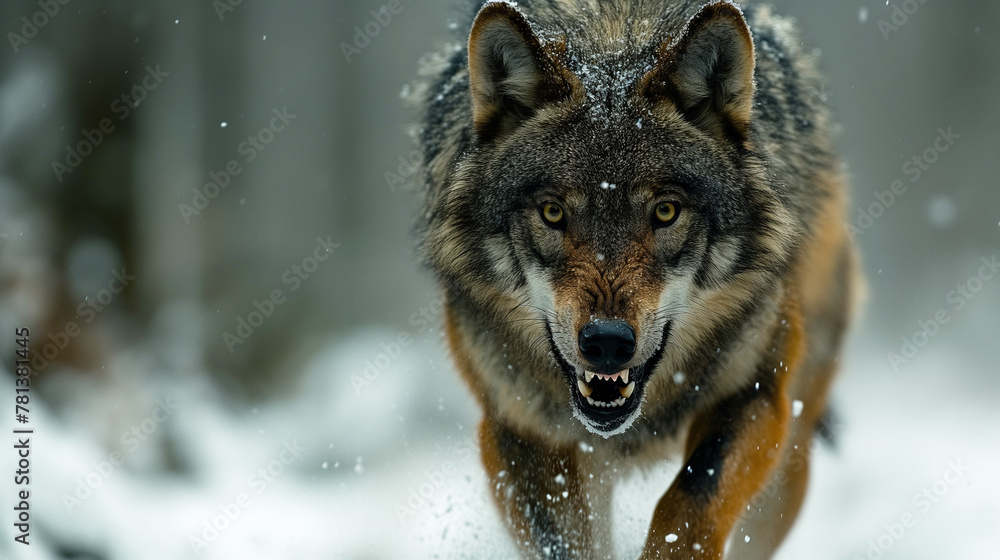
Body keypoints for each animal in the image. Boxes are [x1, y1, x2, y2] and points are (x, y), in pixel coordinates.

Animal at [416, 1, 862, 558]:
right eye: (553, 212)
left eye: (665, 211)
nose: (606, 342)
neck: (612, 36)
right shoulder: (517, 431)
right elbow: (566, 541)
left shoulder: (756, 393)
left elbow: (689, 503)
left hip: (784, 474)